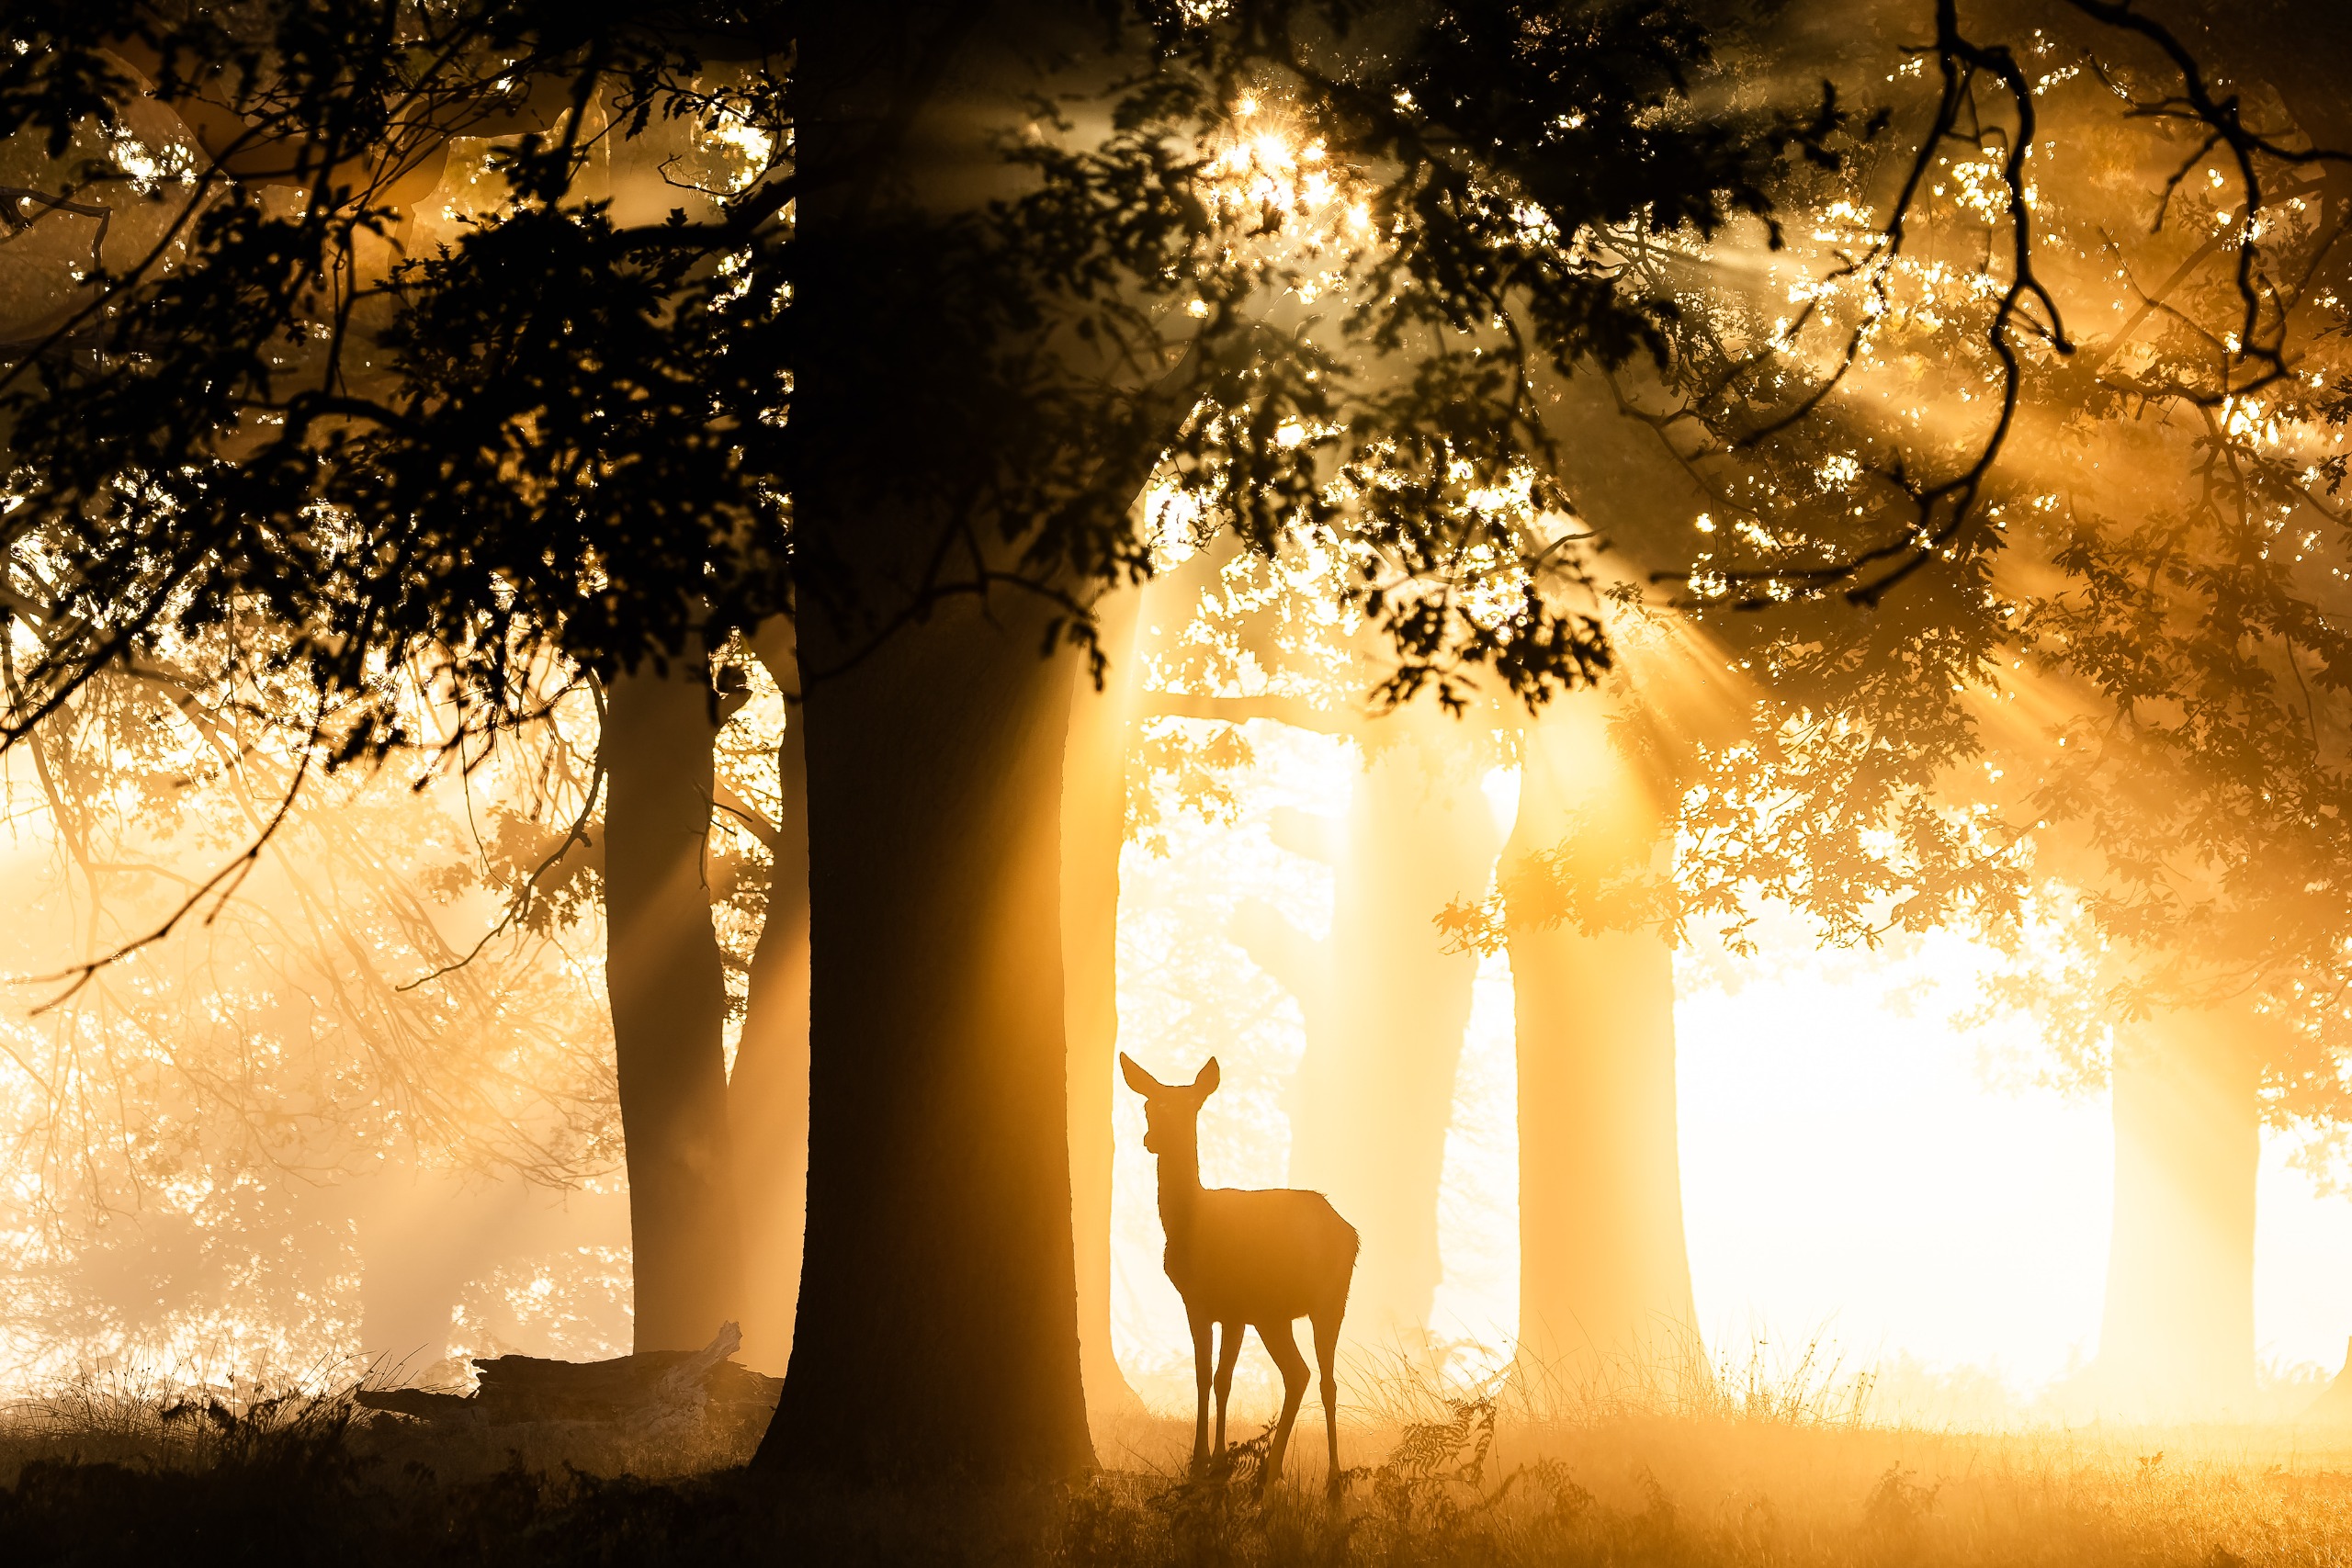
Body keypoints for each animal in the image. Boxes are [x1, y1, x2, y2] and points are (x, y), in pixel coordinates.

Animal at [1121, 1053, 1358, 1499]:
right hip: (1299, 1309)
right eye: (1148, 1106)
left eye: (1190, 1109)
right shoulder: (1215, 1308)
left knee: (1314, 1377)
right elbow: (1210, 1377)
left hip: (1304, 1303)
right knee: (1310, 1376)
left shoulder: (1220, 1306)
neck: (1190, 1225)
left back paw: (1315, 1478)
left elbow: (1214, 1378)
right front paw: (1210, 1462)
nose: (1151, 1139)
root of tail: (1350, 1234)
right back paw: (1292, 1474)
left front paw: (1208, 1463)